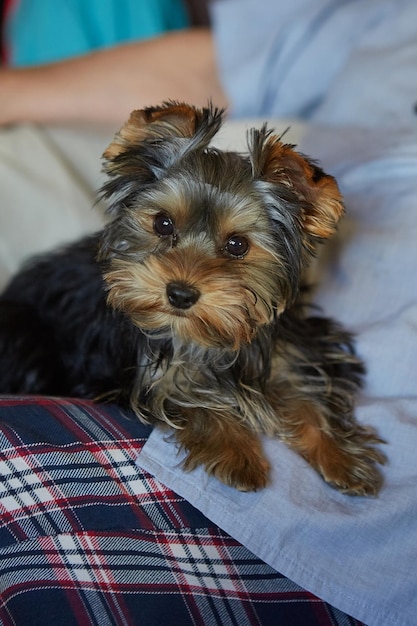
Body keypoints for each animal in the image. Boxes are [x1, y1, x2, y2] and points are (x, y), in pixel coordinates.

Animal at [0, 101, 386, 492]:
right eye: (163, 223)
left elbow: (309, 392)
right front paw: (239, 455)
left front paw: (343, 458)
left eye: (237, 245)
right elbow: (188, 400)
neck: (207, 338)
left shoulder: (293, 348)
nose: (180, 294)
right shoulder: (141, 377)